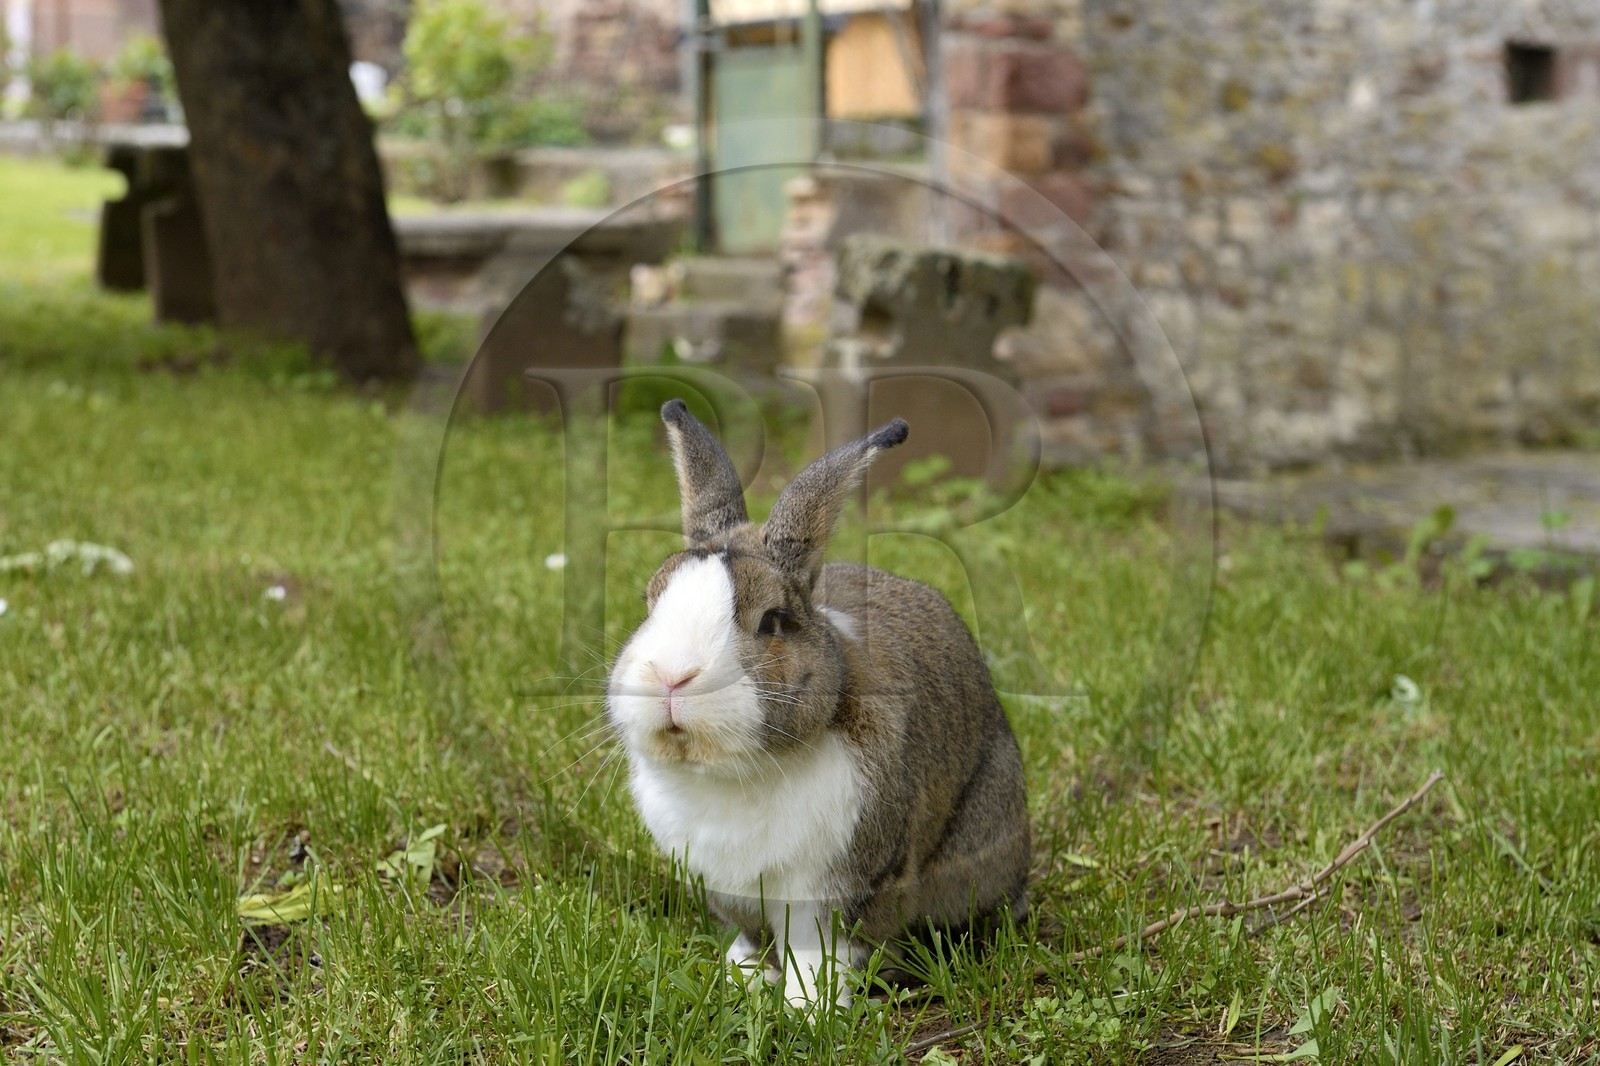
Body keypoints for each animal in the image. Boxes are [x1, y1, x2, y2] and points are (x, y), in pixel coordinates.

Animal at [605, 399, 1031, 1008]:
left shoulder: (838, 889)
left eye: (771, 621)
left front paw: (809, 1009)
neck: (732, 774)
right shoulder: (730, 888)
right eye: (650, 601)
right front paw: (744, 977)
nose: (671, 676)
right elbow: (751, 936)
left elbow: (821, 953)